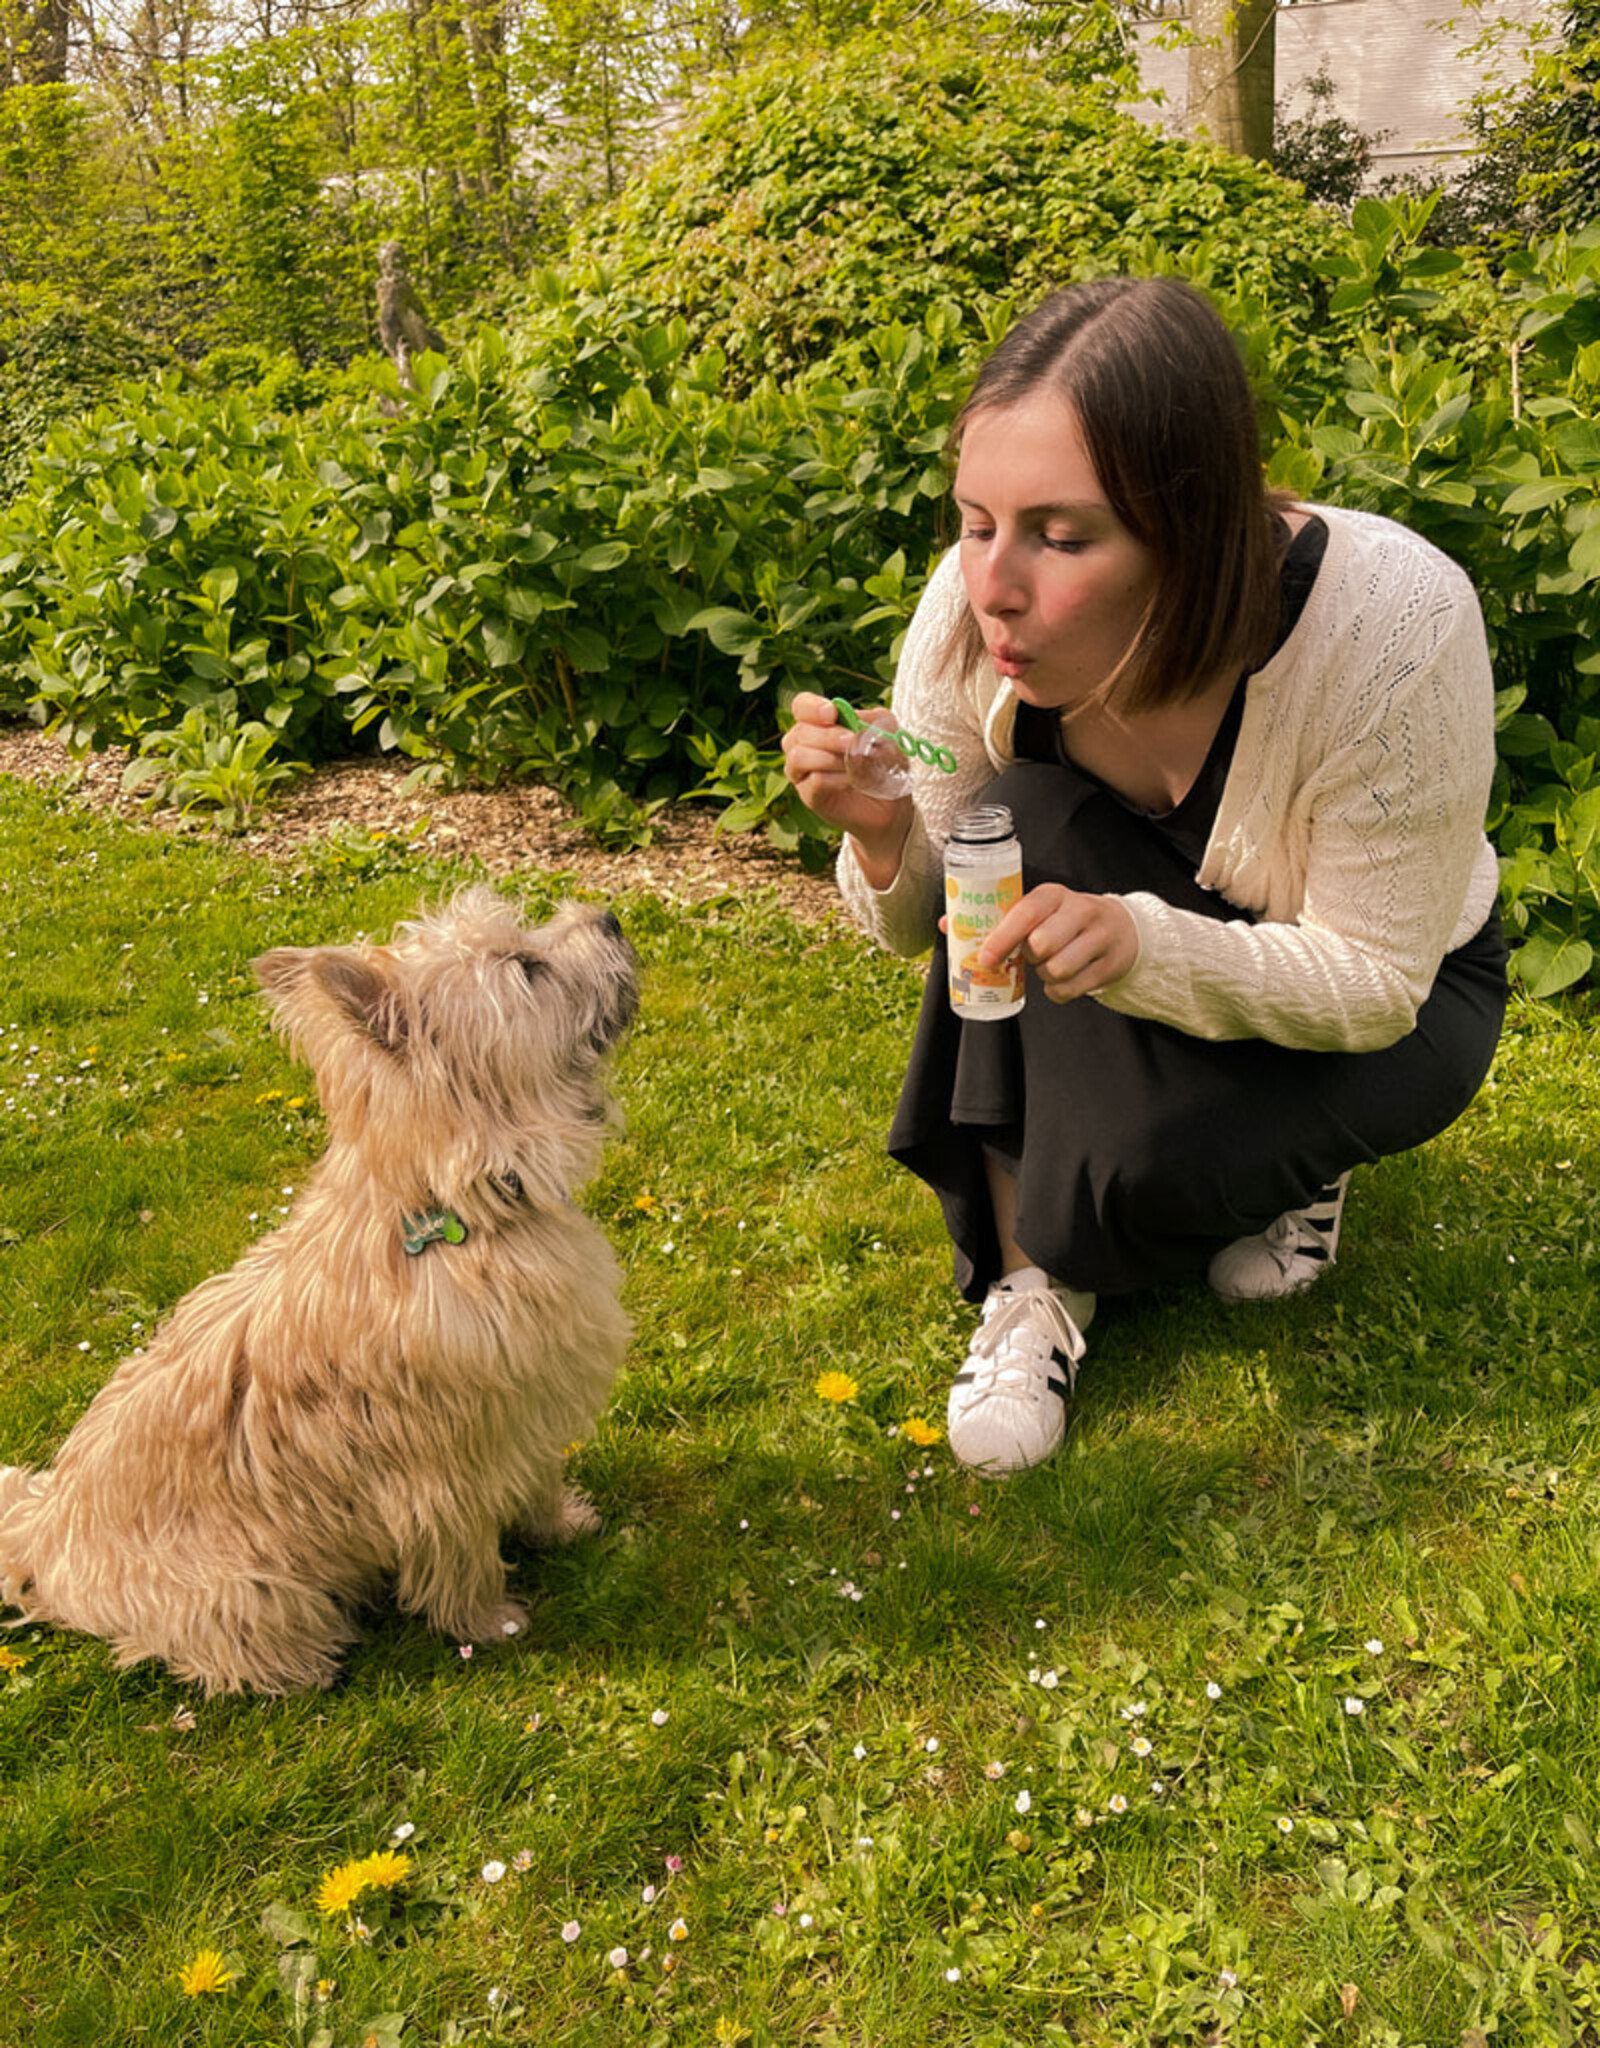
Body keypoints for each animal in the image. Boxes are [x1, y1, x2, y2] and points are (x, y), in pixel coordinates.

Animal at [0, 888, 635, 1703]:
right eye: (526, 966)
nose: (610, 918)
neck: (454, 1208)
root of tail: (49, 1533)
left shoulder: (524, 1411)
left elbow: (540, 1478)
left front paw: (563, 1524)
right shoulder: (444, 1467)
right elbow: (462, 1553)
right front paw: (488, 1621)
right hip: (251, 1592)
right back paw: (305, 1664)